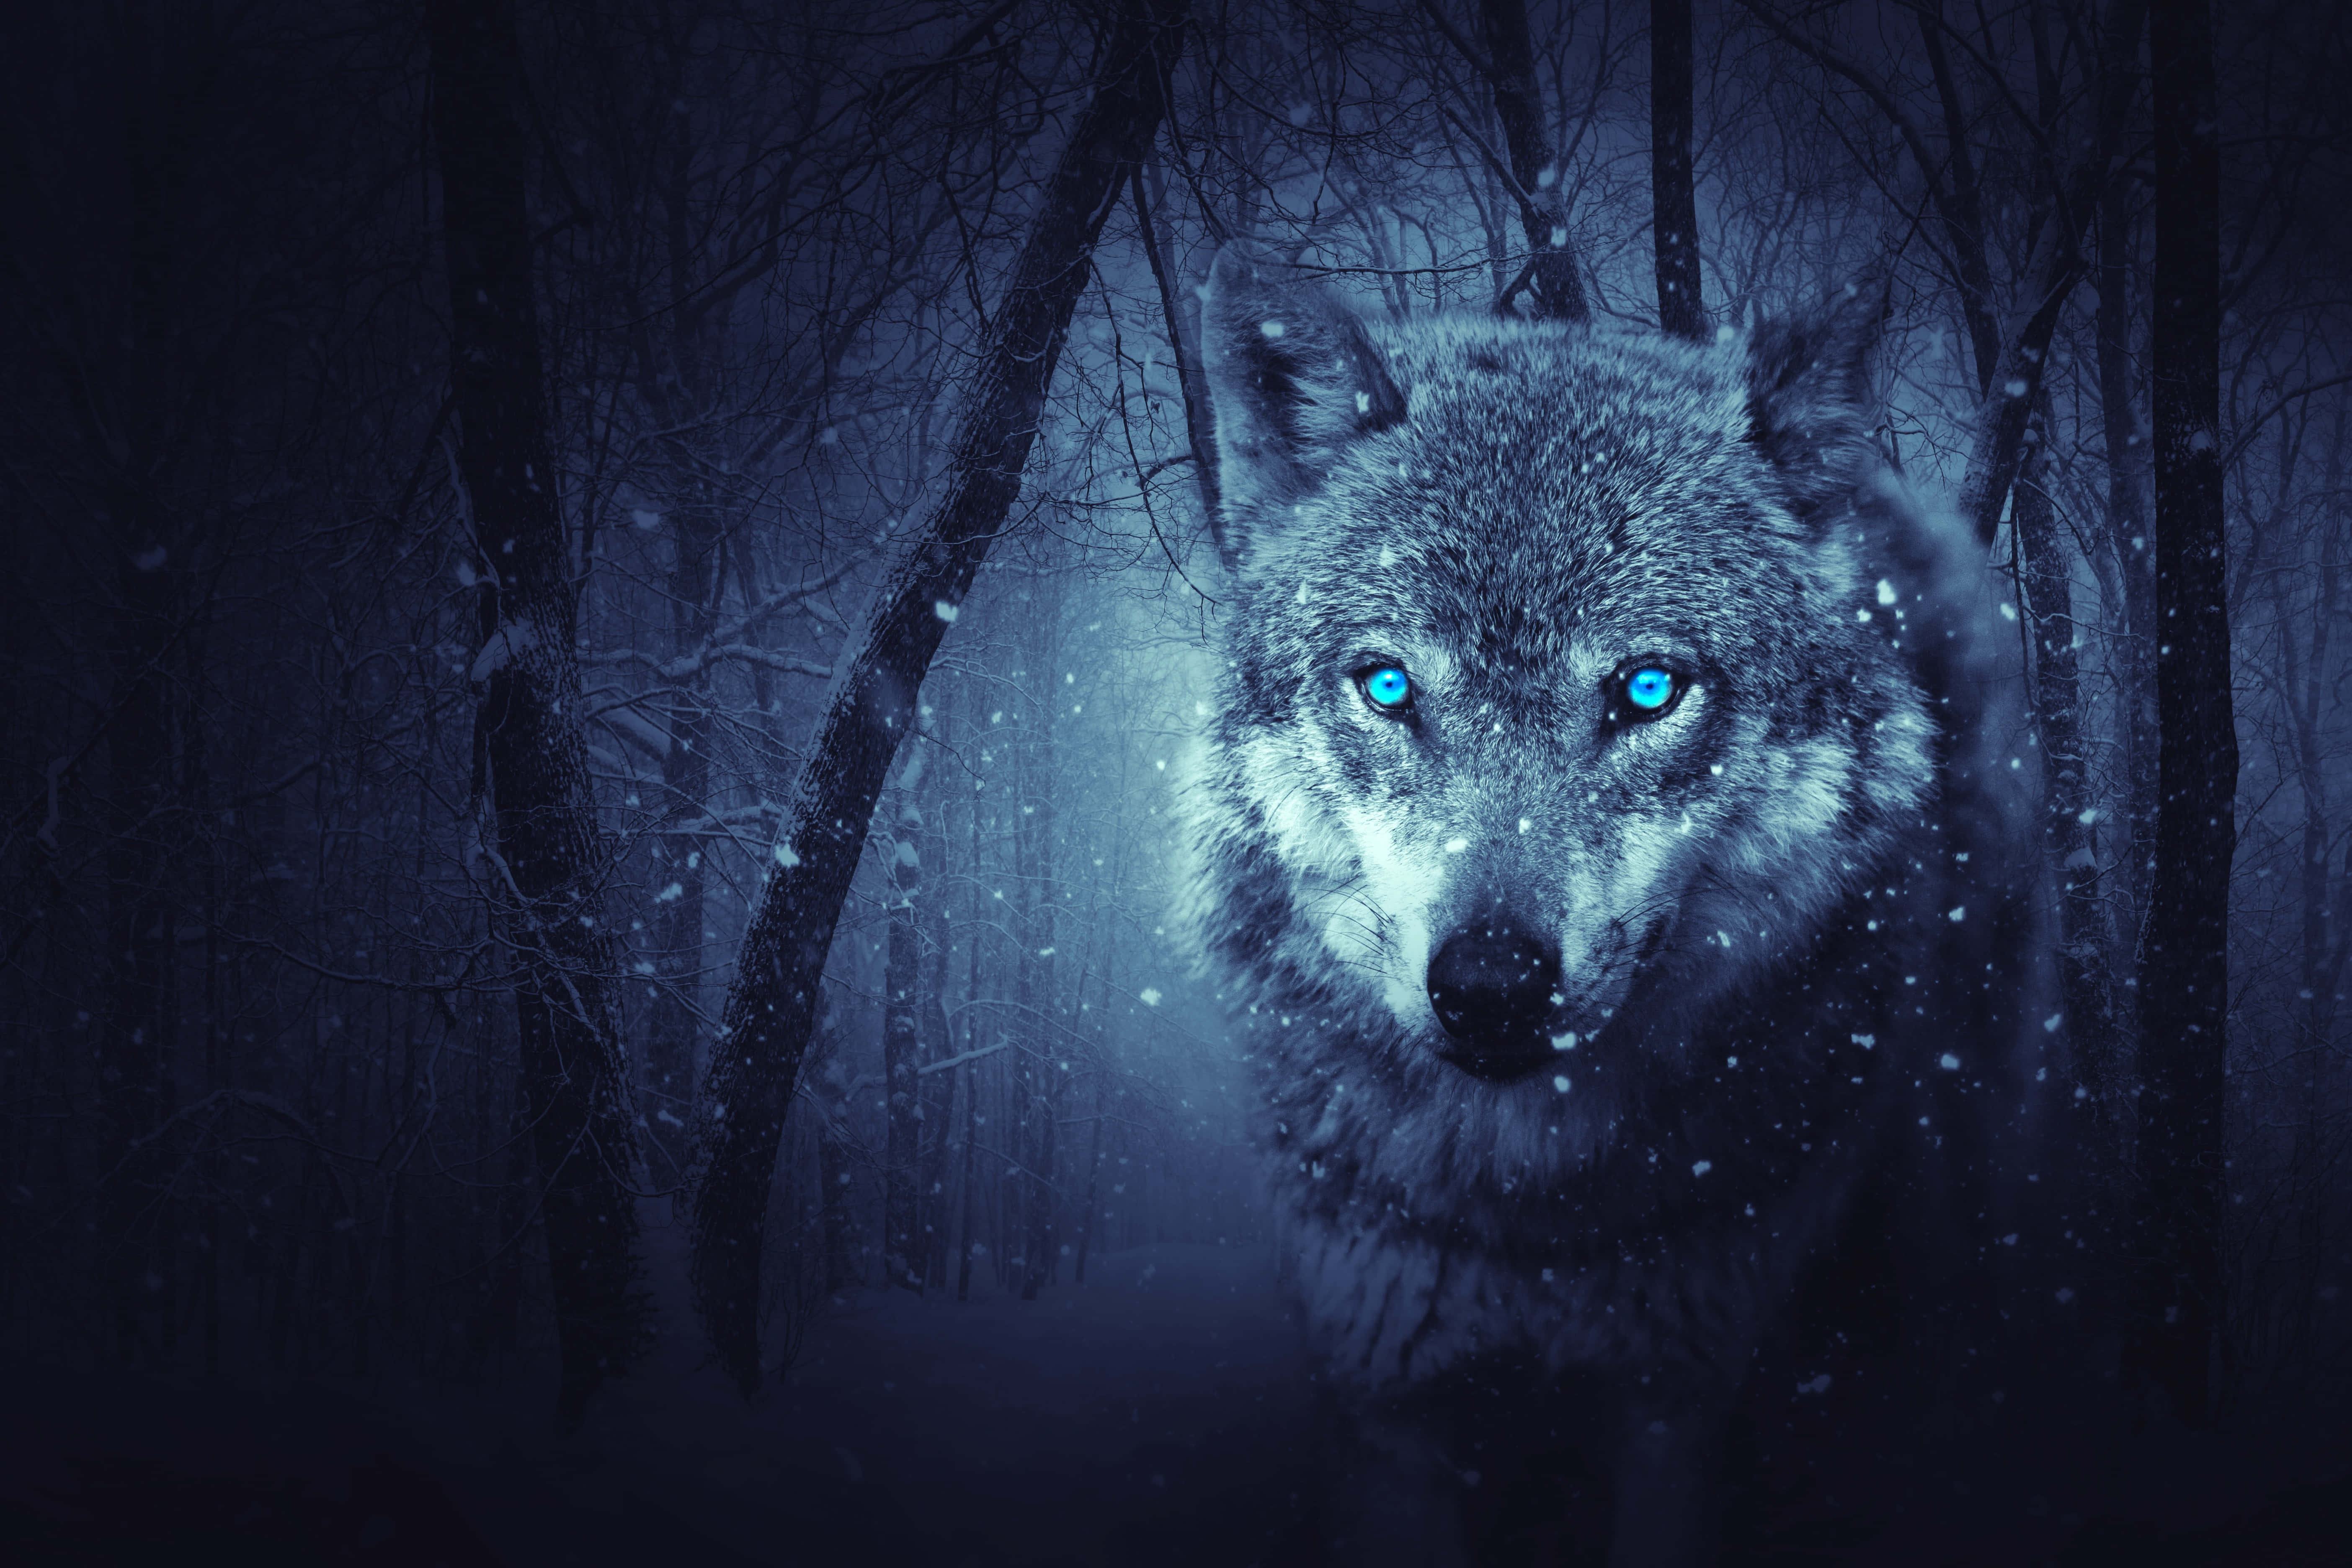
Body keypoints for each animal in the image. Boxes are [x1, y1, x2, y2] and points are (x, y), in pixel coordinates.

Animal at [1179, 248, 2043, 1565]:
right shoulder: (1389, 1407)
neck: (1532, 1218)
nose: (1489, 986)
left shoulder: (1678, 1405)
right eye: (1388, 686)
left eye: (1645, 690)